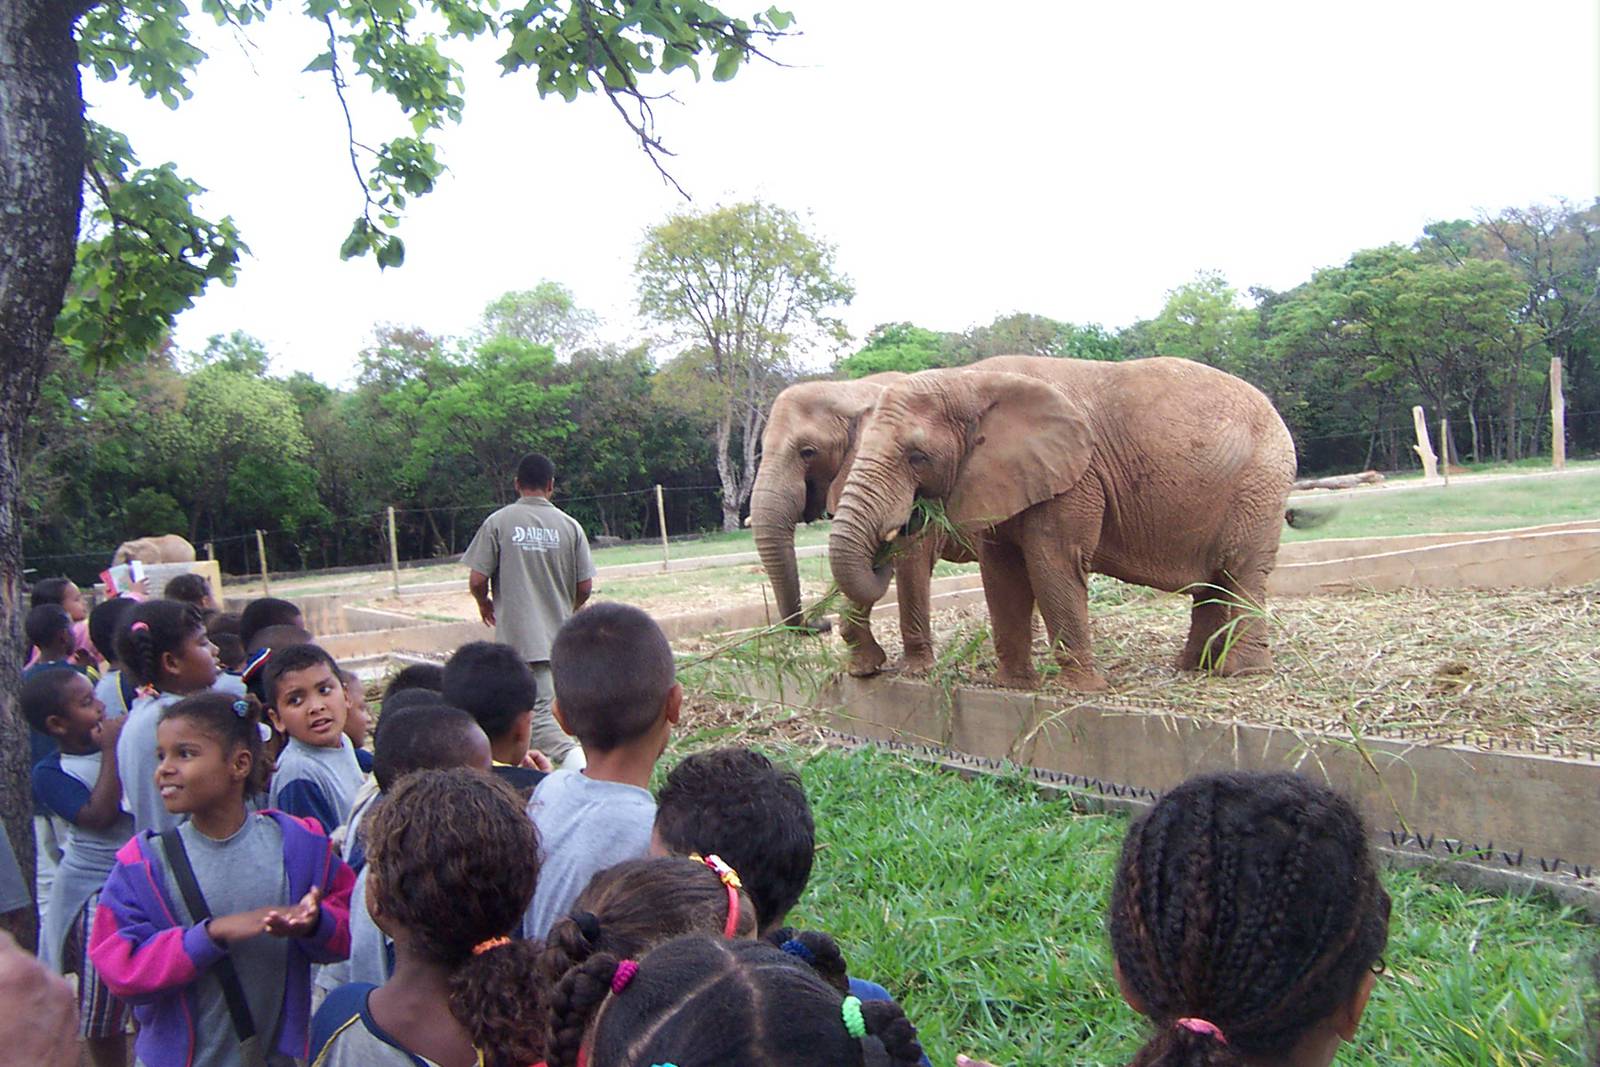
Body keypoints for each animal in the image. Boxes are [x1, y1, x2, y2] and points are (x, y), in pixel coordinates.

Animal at [750, 373, 973, 674]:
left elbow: (912, 556)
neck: (849, 389)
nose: (821, 623)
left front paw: (914, 668)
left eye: (808, 452)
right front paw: (863, 668)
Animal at [827, 355, 1300, 690]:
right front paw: (1014, 686)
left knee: (1241, 573)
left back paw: (1241, 674)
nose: (899, 529)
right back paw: (1193, 670)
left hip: (1261, 485)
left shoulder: (1075, 478)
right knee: (1214, 583)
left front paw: (1084, 691)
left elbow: (1052, 562)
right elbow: (1001, 571)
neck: (969, 381)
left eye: (917, 457)